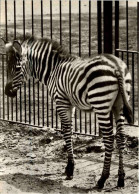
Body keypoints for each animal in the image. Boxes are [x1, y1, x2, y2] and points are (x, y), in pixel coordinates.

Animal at [2, 36, 132, 188]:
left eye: (17, 68)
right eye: (6, 67)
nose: (7, 92)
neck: (53, 70)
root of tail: (117, 67)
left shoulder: (61, 102)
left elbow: (66, 131)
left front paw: (70, 168)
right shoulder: (71, 104)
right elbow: (70, 130)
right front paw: (70, 166)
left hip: (101, 104)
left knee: (109, 138)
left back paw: (102, 178)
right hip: (119, 105)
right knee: (121, 137)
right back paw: (121, 178)